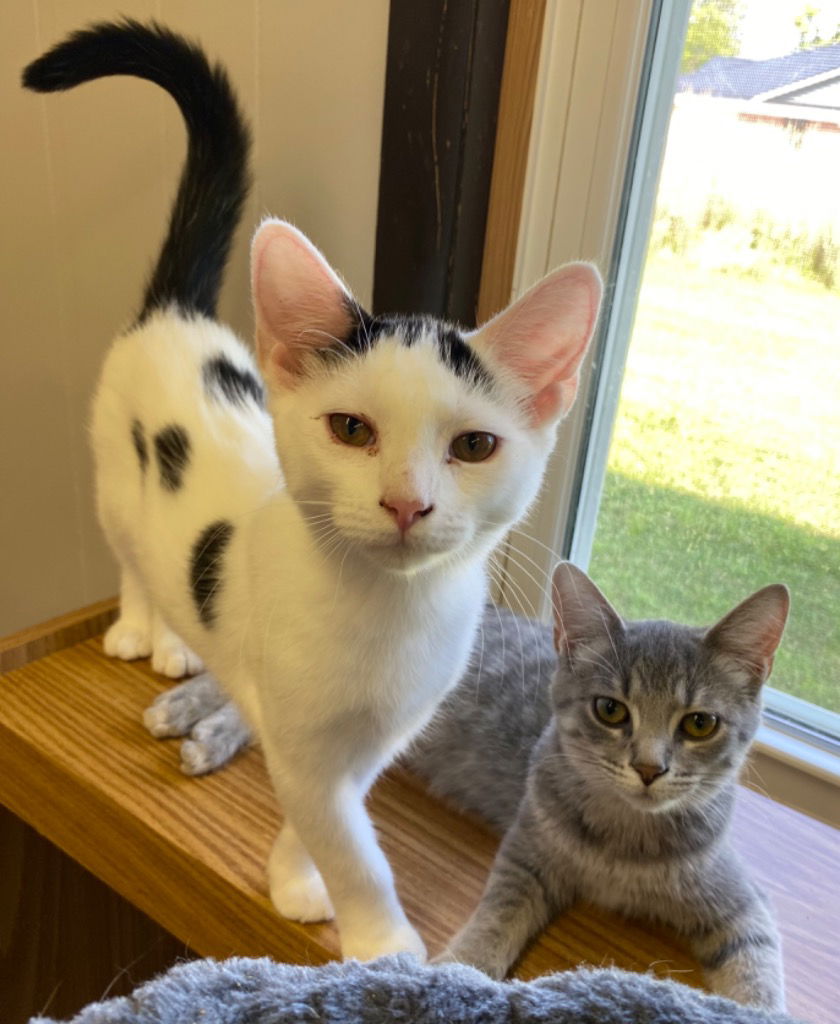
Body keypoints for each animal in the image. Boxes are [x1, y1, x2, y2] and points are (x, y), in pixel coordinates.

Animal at [409, 565, 790, 1011]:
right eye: (610, 710)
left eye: (700, 723)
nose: (648, 768)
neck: (624, 842)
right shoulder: (525, 855)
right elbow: (496, 915)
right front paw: (459, 970)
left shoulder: (742, 903)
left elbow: (755, 970)